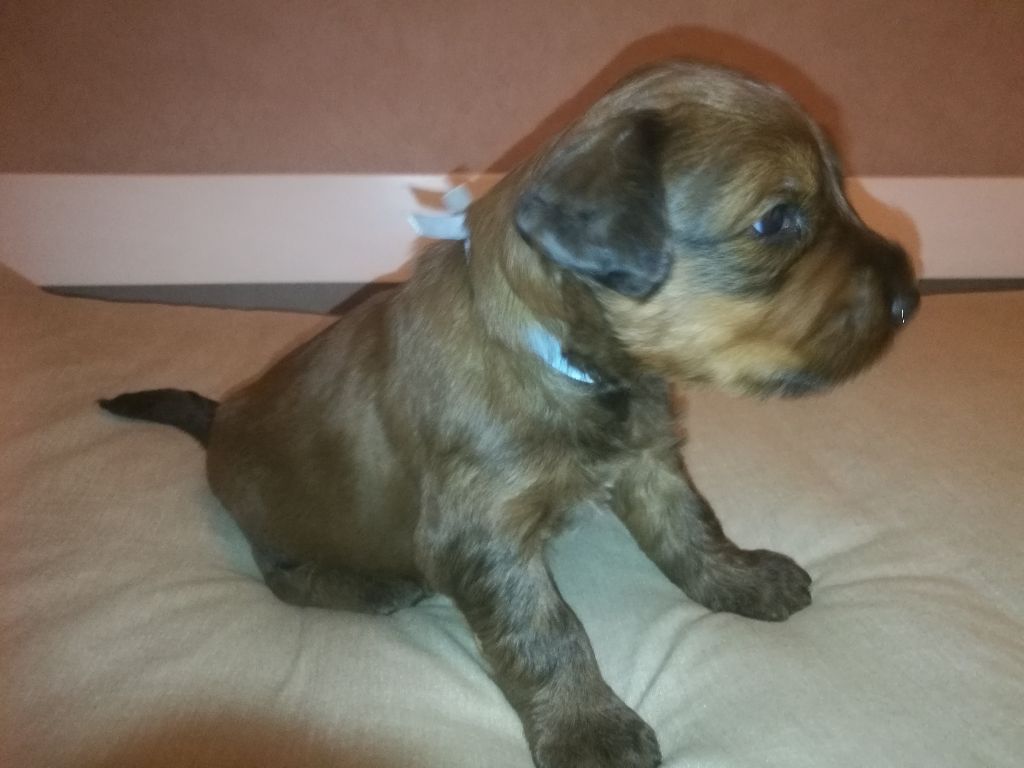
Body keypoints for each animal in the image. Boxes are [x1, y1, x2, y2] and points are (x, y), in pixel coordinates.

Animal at [101, 61, 918, 768]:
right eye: (777, 220)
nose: (911, 299)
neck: (564, 359)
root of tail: (218, 420)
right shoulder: (480, 534)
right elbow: (546, 632)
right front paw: (589, 730)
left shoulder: (648, 460)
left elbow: (692, 529)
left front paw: (743, 580)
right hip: (275, 522)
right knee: (283, 579)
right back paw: (370, 587)